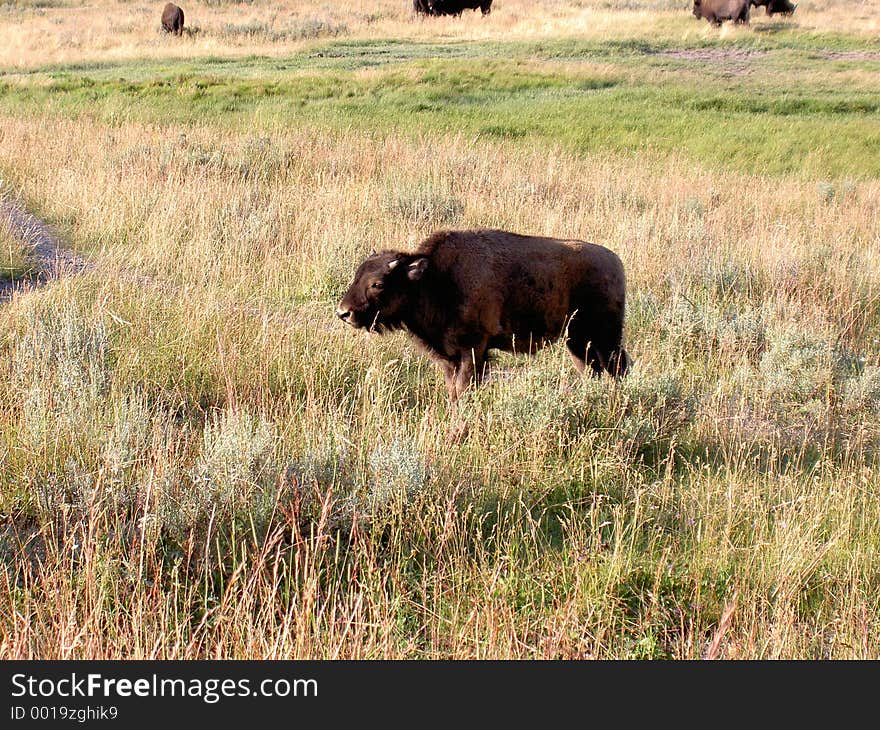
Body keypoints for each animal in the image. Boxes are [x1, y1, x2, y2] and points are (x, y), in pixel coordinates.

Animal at [334, 228, 628, 400]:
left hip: (605, 338)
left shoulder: (473, 351)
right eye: (357, 276)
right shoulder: (450, 358)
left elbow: (463, 389)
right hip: (577, 340)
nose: (343, 312)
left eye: (377, 283)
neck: (435, 279)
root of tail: (615, 262)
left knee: (619, 367)